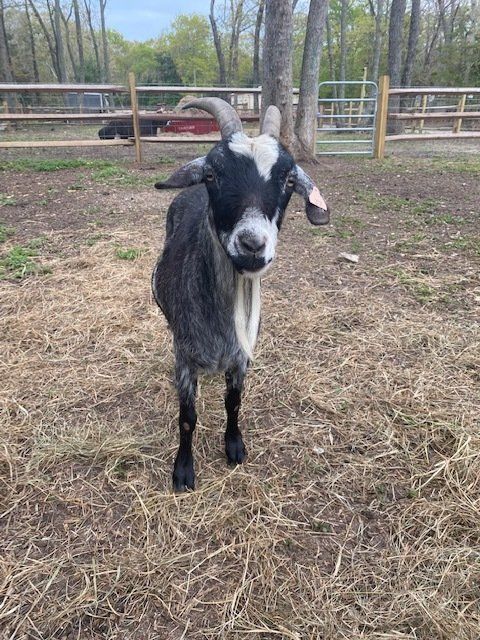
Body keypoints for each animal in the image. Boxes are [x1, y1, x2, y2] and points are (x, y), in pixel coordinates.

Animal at [152, 98, 329, 491]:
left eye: (289, 179)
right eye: (212, 175)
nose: (251, 245)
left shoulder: (241, 356)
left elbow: (233, 402)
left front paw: (234, 445)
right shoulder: (184, 356)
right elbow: (187, 416)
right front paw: (183, 470)